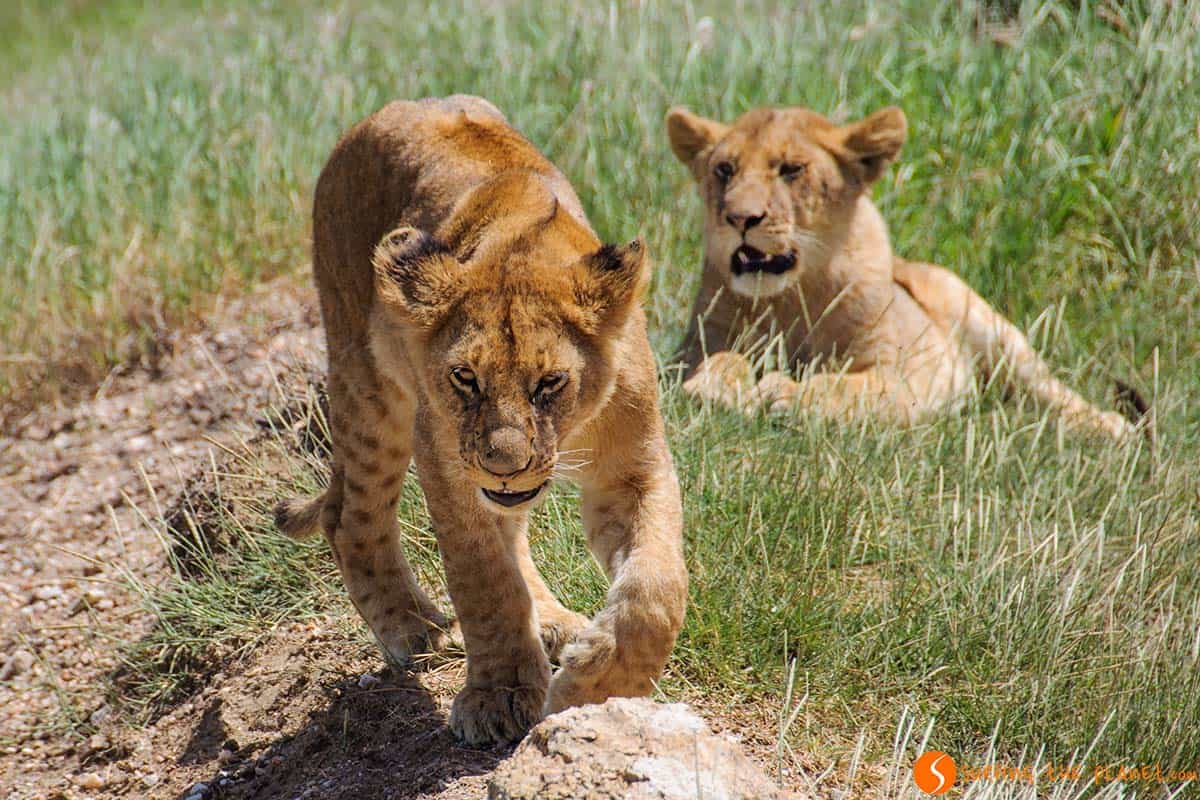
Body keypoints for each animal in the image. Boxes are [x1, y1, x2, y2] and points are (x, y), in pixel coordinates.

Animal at [275, 96, 687, 745]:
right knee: (350, 517)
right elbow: (485, 581)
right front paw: (501, 694)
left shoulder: (633, 468)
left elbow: (655, 587)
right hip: (366, 382)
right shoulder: (448, 466)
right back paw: (416, 630)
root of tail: (396, 107)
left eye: (550, 383)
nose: (504, 465)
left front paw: (593, 686)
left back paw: (555, 622)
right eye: (465, 377)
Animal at [665, 104, 1143, 440]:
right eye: (724, 170)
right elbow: (719, 360)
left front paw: (785, 392)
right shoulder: (692, 349)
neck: (791, 298)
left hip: (996, 335)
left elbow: (846, 386)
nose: (740, 218)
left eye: (792, 169)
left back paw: (1112, 430)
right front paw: (716, 387)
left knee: (1050, 393)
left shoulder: (904, 369)